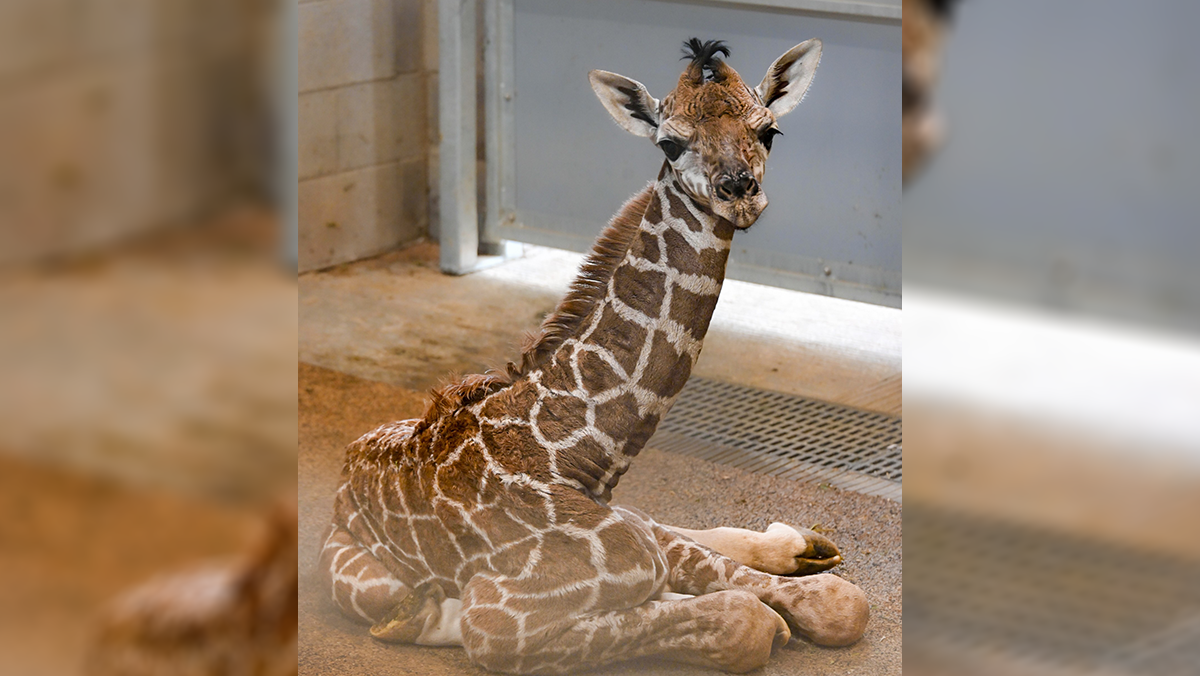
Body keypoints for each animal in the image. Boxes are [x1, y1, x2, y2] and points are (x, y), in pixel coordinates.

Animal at [319, 38, 868, 674]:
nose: (738, 192)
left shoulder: (631, 542)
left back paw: (801, 543)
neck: (573, 451)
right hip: (360, 579)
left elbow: (840, 602)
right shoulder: (497, 619)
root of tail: (347, 464)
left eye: (769, 131)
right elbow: (744, 621)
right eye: (670, 142)